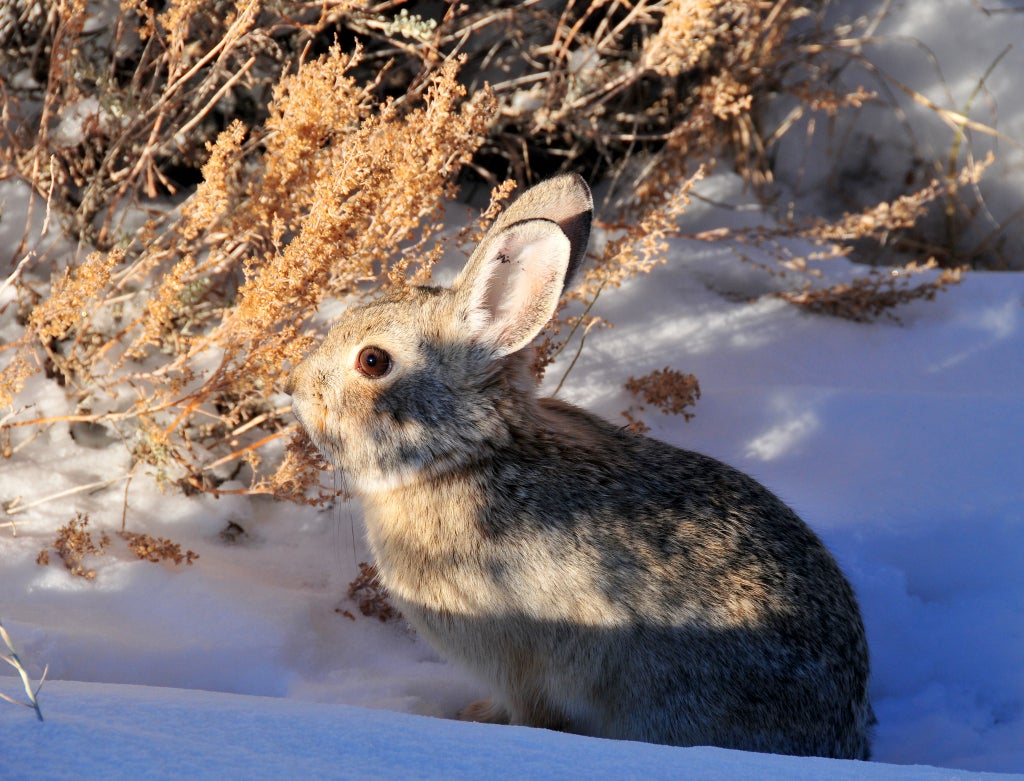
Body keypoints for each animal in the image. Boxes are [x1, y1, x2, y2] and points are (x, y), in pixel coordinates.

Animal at [286, 174, 874, 759]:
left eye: (373, 361)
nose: (295, 388)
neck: (464, 457)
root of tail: (837, 741)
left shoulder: (524, 664)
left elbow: (530, 712)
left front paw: (477, 720)